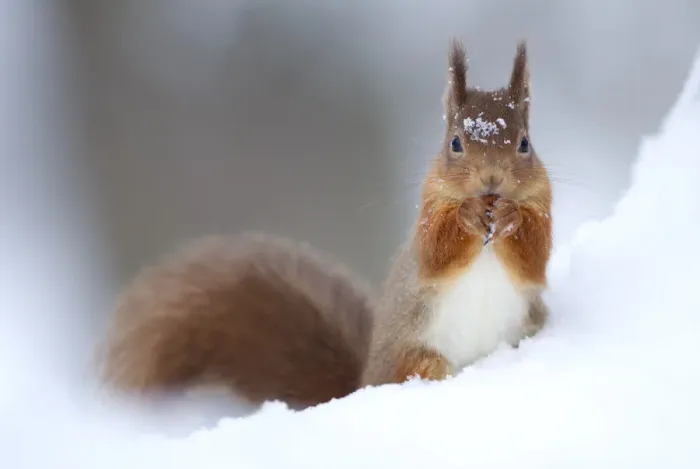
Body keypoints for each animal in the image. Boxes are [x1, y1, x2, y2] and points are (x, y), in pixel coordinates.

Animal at [99, 39, 552, 410]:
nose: (491, 180)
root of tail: (362, 382)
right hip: (416, 357)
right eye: (455, 143)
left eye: (524, 144)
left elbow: (534, 256)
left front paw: (511, 217)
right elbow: (436, 251)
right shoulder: (428, 210)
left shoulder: (543, 204)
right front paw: (467, 215)